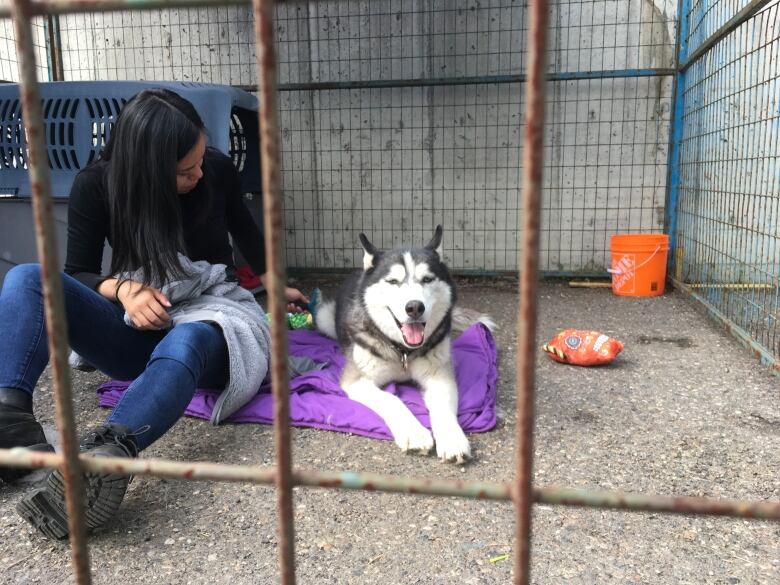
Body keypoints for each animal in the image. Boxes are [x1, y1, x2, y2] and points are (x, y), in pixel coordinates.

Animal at [316, 226, 494, 464]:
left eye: (427, 279)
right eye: (393, 281)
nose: (414, 307)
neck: (403, 352)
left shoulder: (439, 376)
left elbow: (443, 408)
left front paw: (452, 438)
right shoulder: (356, 381)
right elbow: (391, 399)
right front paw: (414, 433)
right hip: (323, 318)